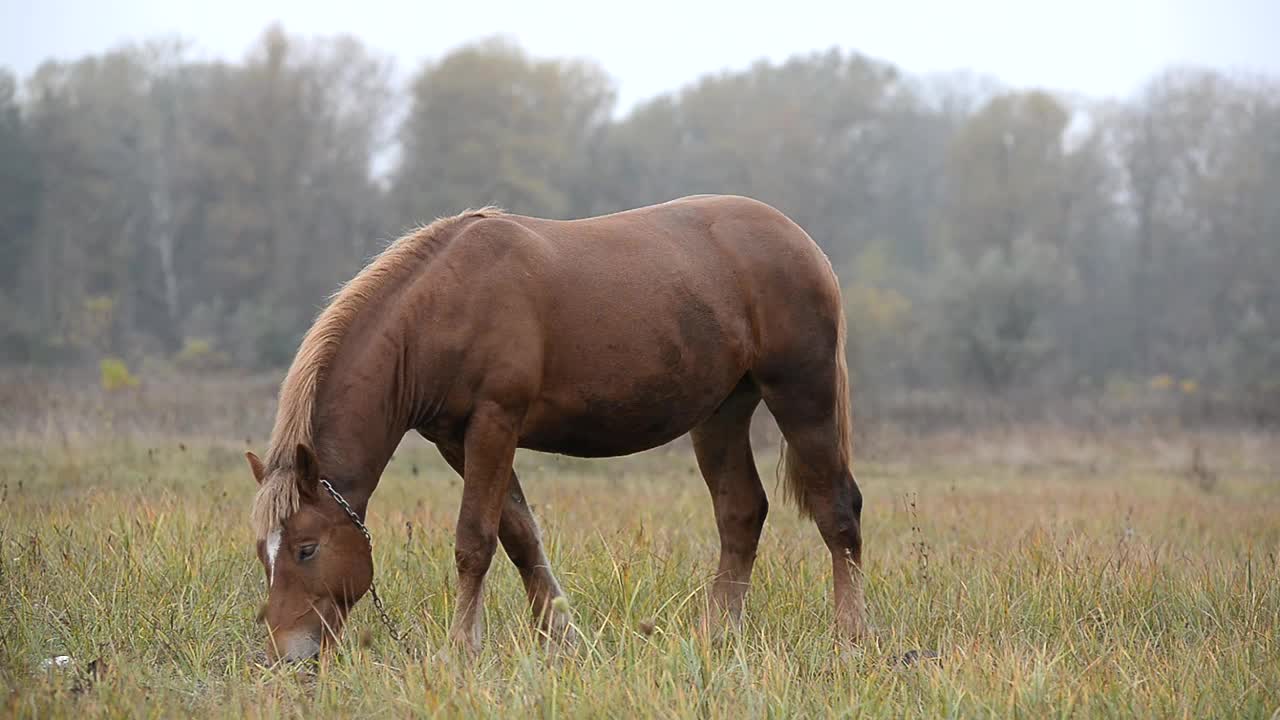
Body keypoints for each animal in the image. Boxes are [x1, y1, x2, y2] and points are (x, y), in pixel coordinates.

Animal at [244, 193, 865, 661]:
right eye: (262, 553)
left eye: (305, 549)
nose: (284, 655)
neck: (443, 305)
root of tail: (804, 244)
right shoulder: (455, 439)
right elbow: (519, 535)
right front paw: (561, 639)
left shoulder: (495, 421)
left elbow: (475, 540)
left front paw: (460, 650)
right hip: (722, 412)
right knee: (741, 512)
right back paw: (716, 635)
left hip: (801, 396)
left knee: (838, 509)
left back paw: (850, 637)